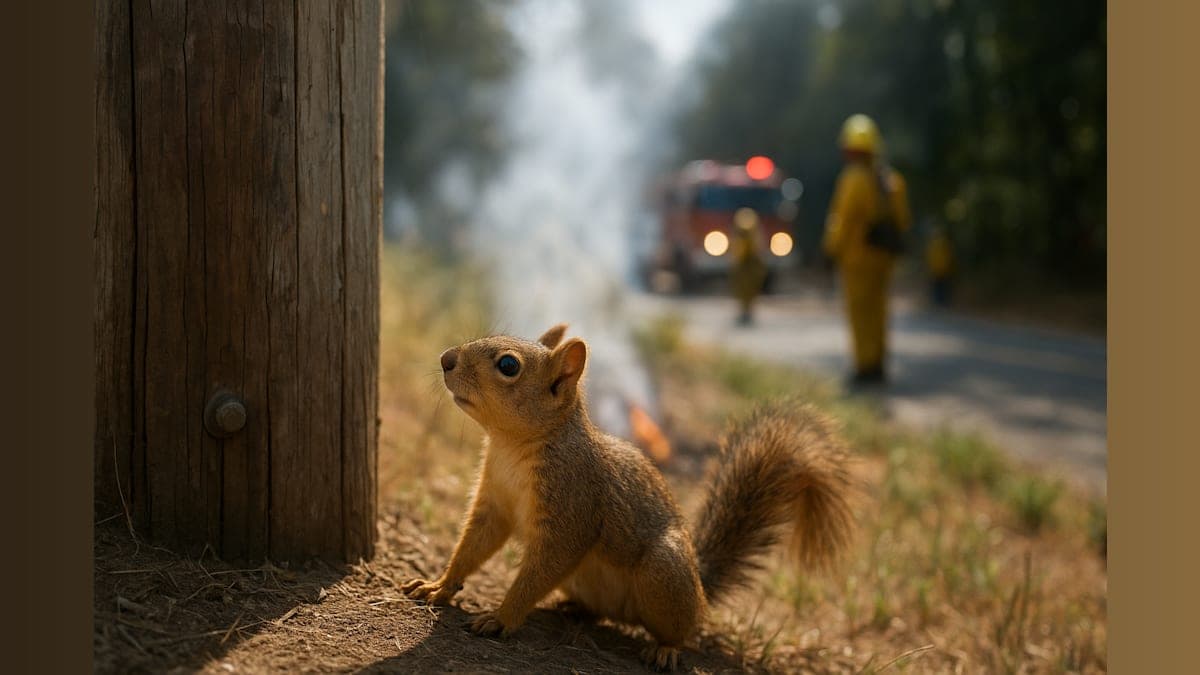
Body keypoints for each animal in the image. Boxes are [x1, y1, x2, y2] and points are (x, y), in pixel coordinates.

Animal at [402, 323, 859, 671]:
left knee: (683, 628)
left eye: (508, 365)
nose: (446, 358)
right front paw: (439, 585)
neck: (513, 447)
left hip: (664, 571)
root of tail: (700, 586)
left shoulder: (574, 505)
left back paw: (665, 648)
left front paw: (500, 617)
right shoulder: (494, 500)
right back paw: (575, 609)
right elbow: (473, 545)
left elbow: (541, 567)